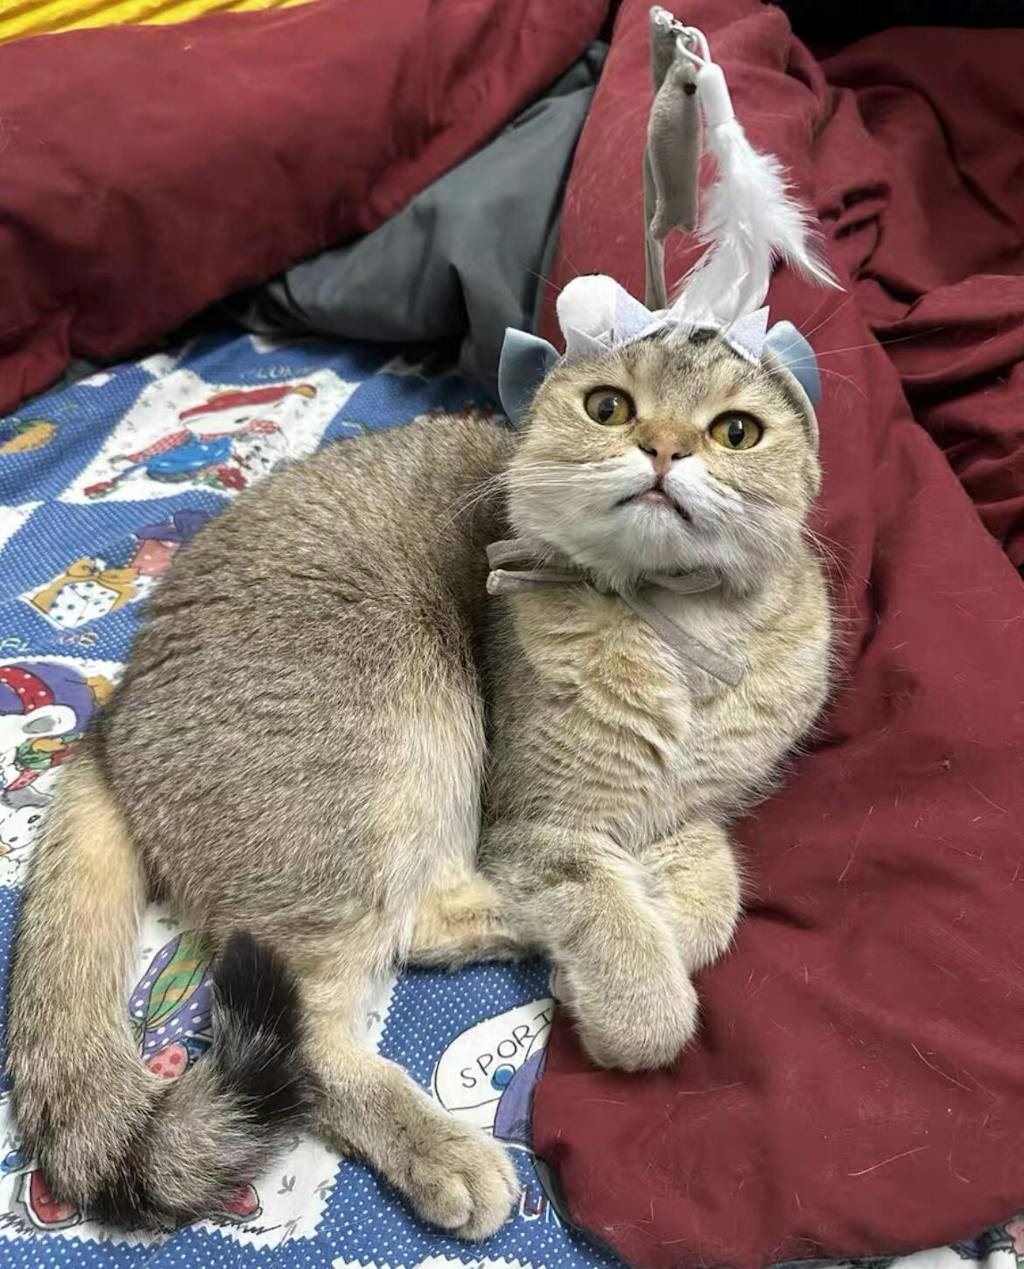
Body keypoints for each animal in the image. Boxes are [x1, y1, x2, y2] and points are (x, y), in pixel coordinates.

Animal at [7, 327, 831, 1240]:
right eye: (610, 406)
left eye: (735, 431)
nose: (664, 446)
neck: (679, 629)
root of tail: (111, 719)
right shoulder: (536, 819)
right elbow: (618, 932)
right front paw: (633, 996)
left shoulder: (691, 807)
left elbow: (713, 897)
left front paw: (659, 923)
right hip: (392, 743)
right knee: (318, 1024)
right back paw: (446, 1148)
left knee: (422, 922)